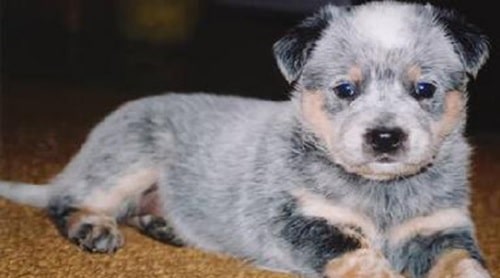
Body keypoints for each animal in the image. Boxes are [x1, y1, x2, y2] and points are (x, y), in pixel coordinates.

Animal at [0, 2, 492, 278]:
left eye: (424, 88)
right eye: (345, 89)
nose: (385, 137)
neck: (381, 194)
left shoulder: (440, 230)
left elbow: (465, 264)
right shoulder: (304, 220)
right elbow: (359, 257)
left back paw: (162, 224)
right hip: (128, 160)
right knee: (68, 201)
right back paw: (93, 226)